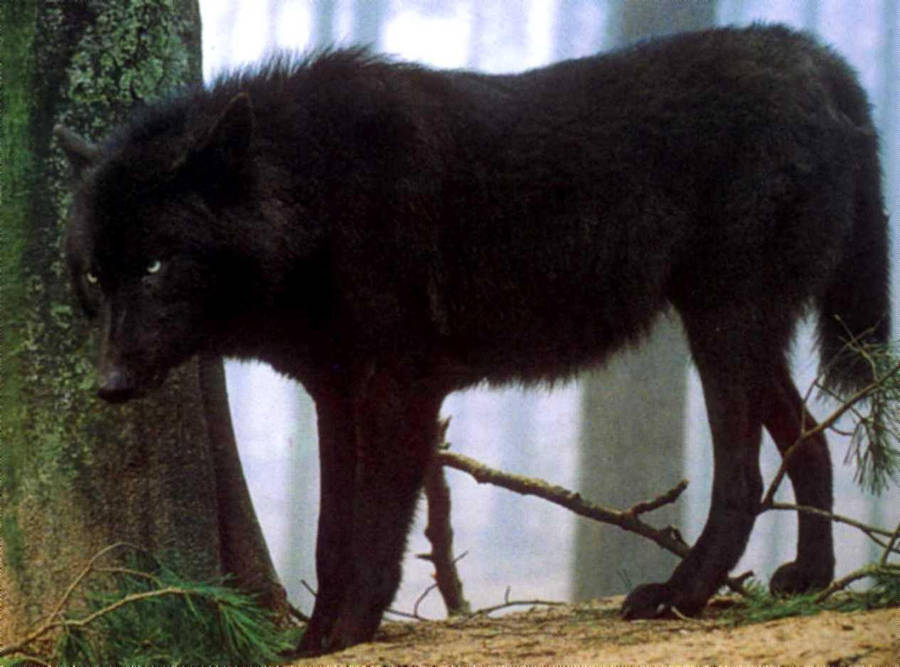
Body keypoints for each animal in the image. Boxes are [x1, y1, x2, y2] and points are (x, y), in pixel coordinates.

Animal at [58, 24, 889, 655]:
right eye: (97, 273)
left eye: (158, 263)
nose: (108, 385)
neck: (313, 191)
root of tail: (817, 57)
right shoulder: (335, 393)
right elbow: (330, 534)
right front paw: (314, 640)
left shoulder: (398, 389)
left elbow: (373, 531)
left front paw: (349, 632)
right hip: (739, 334)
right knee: (812, 437)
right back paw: (810, 578)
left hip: (722, 327)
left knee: (744, 475)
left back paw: (678, 594)